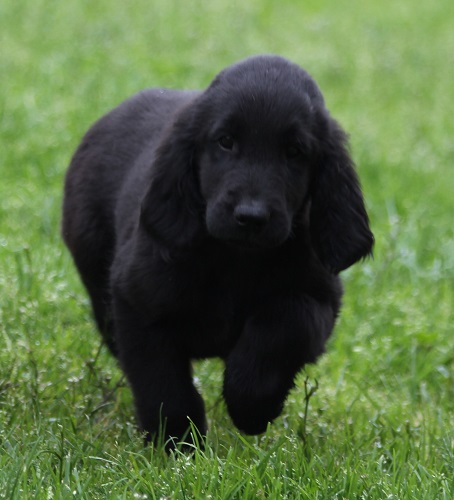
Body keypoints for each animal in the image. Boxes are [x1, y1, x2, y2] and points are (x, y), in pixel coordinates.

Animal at [62, 55, 373, 448]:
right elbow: (160, 380)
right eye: (226, 142)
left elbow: (283, 327)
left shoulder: (318, 298)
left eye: (294, 152)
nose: (251, 216)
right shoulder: (137, 302)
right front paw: (176, 441)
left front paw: (251, 406)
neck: (234, 260)